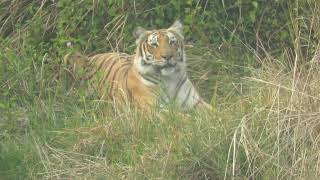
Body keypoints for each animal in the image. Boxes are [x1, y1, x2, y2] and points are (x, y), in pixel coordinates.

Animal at [63, 20, 211, 112]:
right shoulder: (155, 110)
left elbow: (213, 113)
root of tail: (89, 58)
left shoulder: (196, 103)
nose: (167, 56)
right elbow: (184, 120)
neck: (169, 79)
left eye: (172, 42)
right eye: (154, 44)